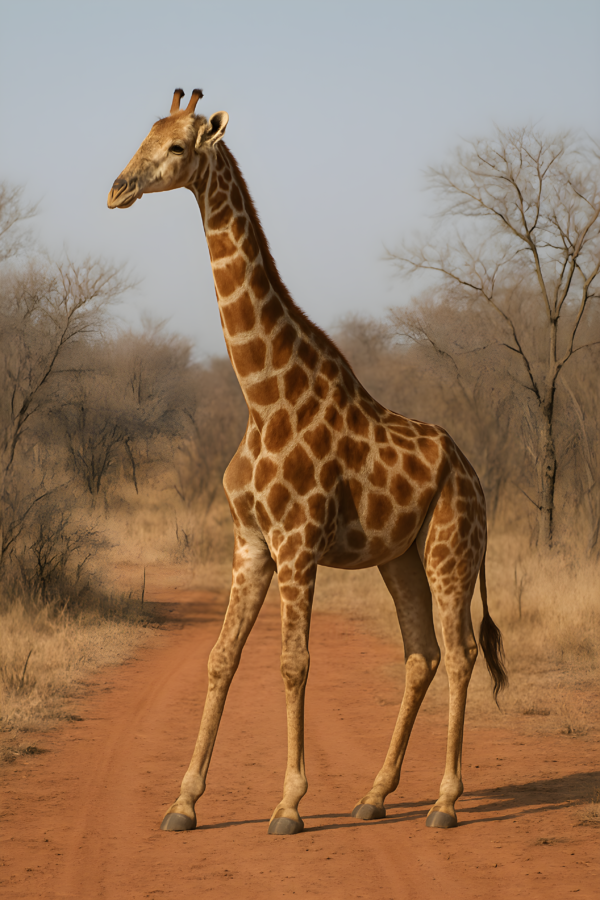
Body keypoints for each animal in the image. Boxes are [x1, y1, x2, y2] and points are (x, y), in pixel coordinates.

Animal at [108, 89, 507, 836]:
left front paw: (289, 804)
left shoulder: (295, 545)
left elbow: (293, 663)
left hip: (452, 550)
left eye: (176, 146)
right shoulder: (250, 543)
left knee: (462, 653)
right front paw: (183, 802)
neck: (263, 396)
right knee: (421, 653)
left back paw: (443, 801)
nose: (117, 188)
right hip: (399, 557)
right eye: (142, 134)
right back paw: (375, 795)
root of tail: (473, 473)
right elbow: (221, 658)